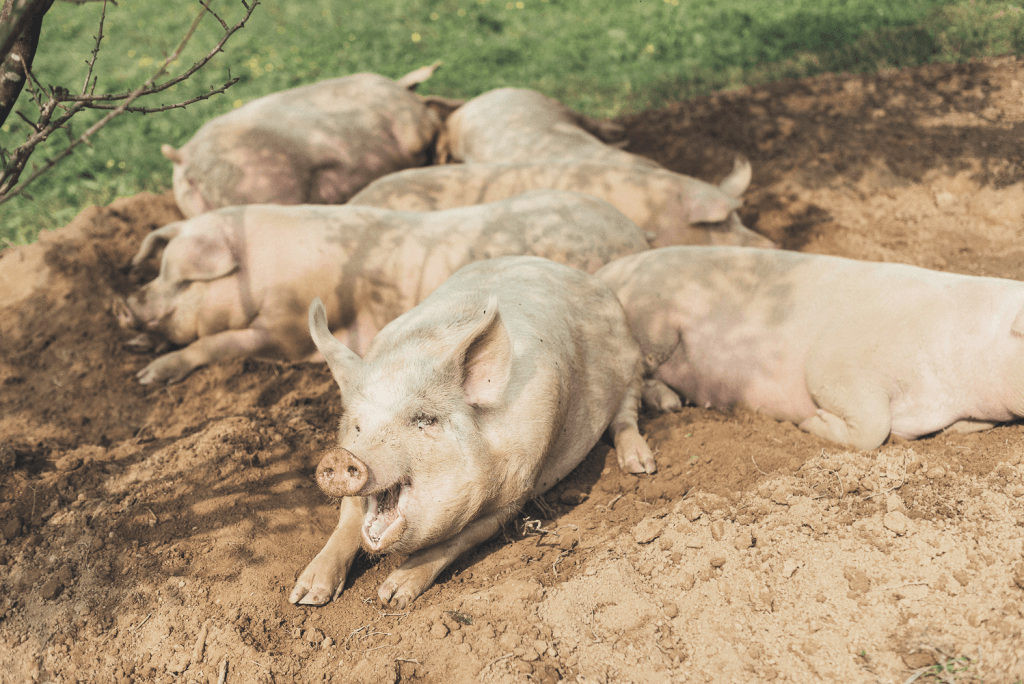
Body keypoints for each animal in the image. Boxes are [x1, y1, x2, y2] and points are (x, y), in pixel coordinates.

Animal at [114, 190, 649, 385]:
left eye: (183, 279)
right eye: (157, 271)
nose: (124, 306)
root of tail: (633, 230)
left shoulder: (284, 330)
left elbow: (218, 343)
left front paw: (146, 378)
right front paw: (139, 355)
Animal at [289, 255, 655, 608]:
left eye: (424, 419)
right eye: (357, 426)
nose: (340, 457)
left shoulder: (518, 491)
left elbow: (457, 539)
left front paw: (392, 596)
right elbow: (350, 520)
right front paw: (305, 596)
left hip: (633, 357)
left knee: (626, 412)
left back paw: (642, 466)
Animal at [597, 246, 1024, 450]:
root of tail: (605, 271)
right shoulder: (836, 362)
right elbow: (873, 427)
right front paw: (808, 423)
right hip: (651, 322)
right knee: (635, 375)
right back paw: (665, 414)